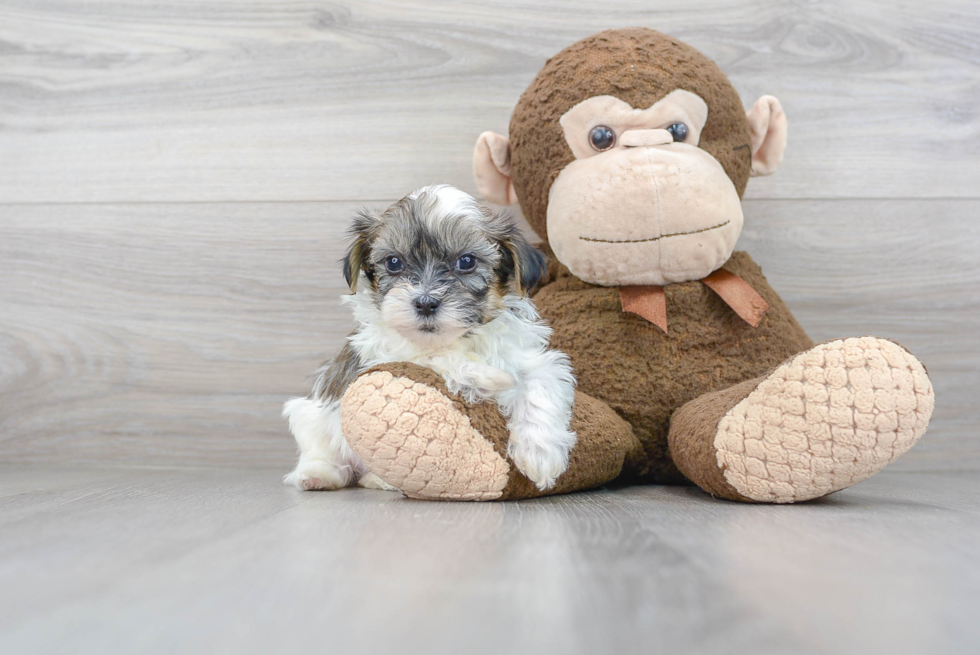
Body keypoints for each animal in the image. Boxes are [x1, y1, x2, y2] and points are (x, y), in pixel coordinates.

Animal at [282, 184, 576, 492]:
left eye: (466, 261)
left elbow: (539, 382)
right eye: (394, 262)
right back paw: (319, 474)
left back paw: (379, 479)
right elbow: (427, 356)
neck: (460, 338)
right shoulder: (382, 353)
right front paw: (490, 377)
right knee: (322, 450)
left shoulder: (530, 357)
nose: (425, 303)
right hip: (309, 415)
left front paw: (541, 454)